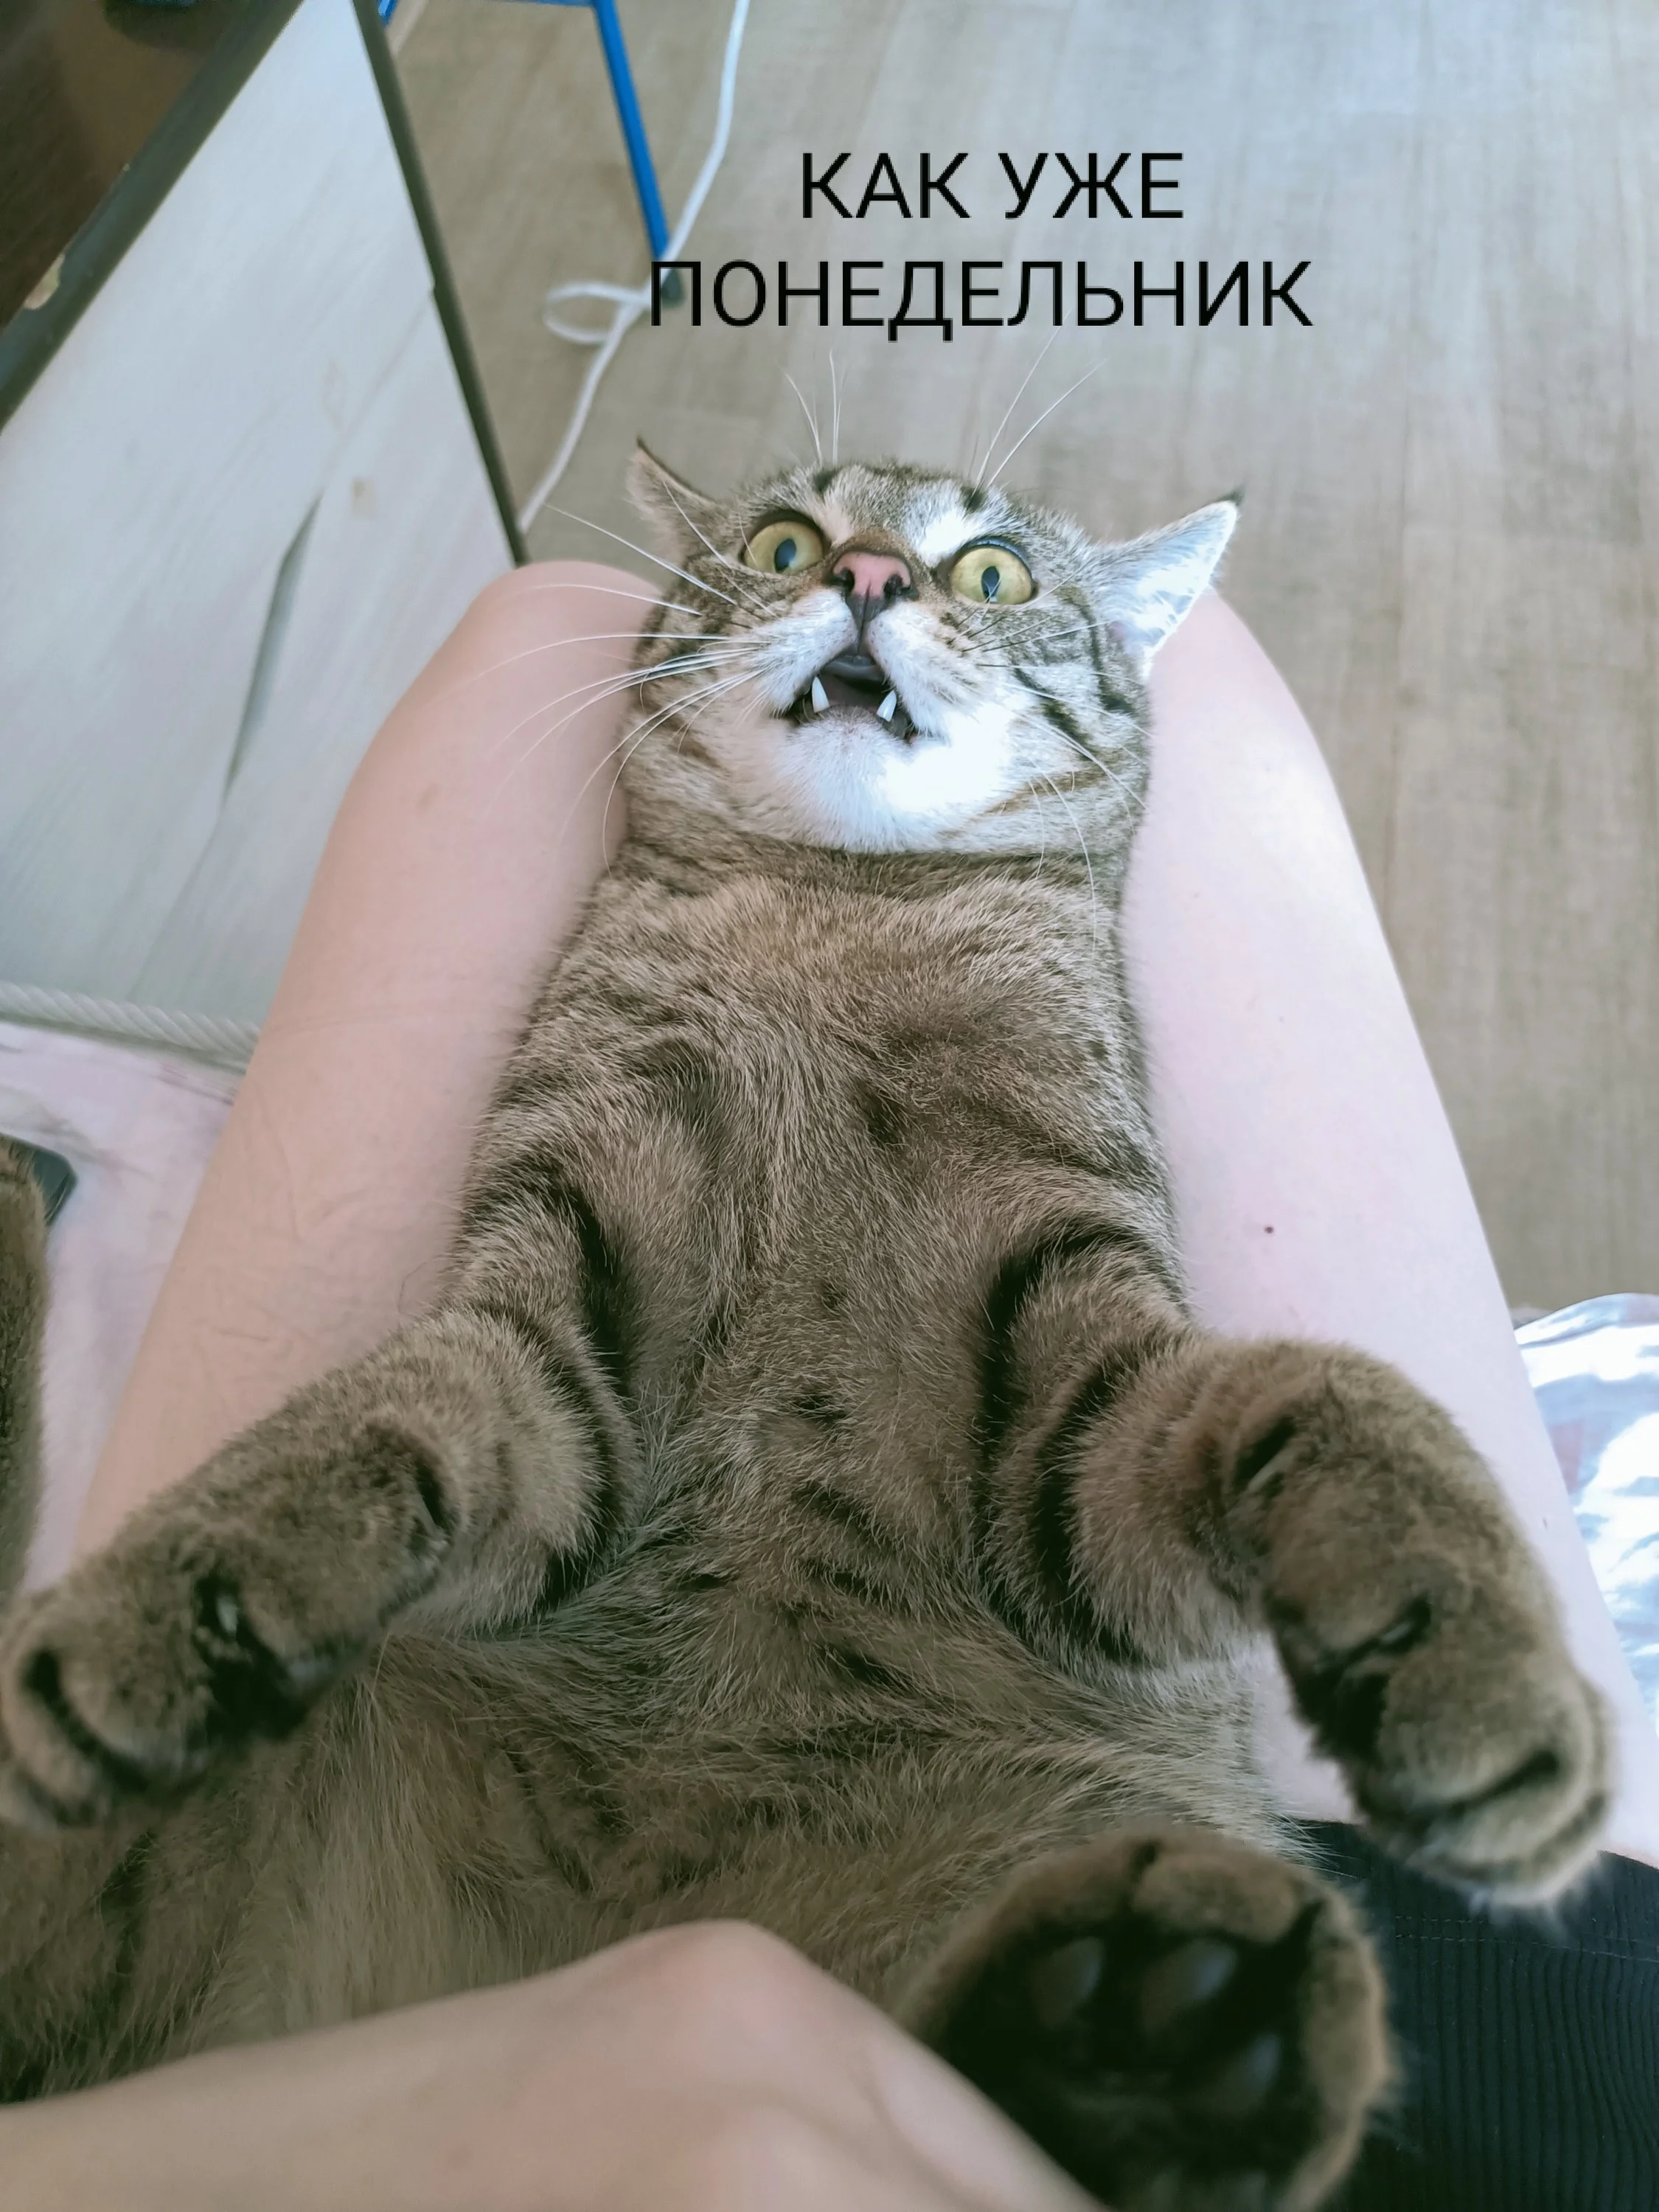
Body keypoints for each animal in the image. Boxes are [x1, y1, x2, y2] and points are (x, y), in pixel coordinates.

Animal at [0, 449, 1611, 2211]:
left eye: (991, 574)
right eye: (782, 541)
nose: (866, 578)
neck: (833, 917)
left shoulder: (1079, 1409)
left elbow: (1339, 1396)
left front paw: (1480, 1653)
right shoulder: (550, 1310)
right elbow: (387, 1419)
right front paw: (179, 1603)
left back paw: (1171, 2027)